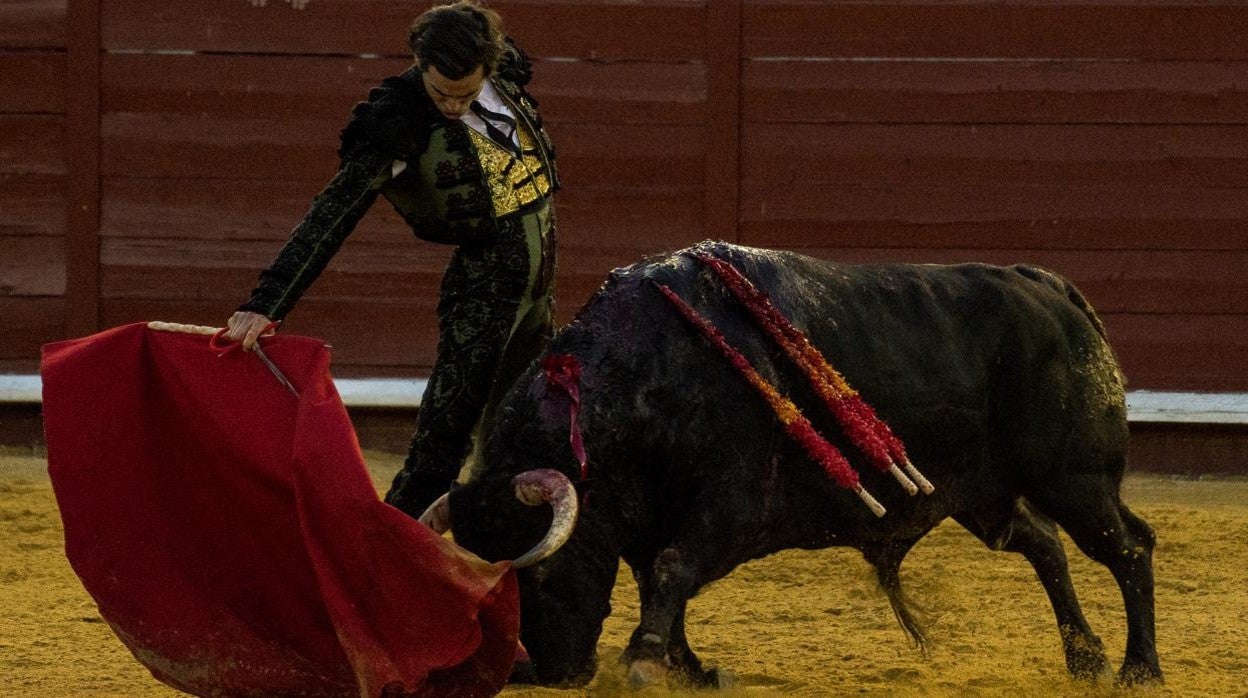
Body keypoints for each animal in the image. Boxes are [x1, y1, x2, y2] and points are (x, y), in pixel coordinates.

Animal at [426, 243, 1158, 689]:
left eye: (539, 570)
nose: (551, 671)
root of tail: (1051, 288)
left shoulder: (732, 502)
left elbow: (672, 568)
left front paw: (644, 661)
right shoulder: (649, 517)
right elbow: (659, 578)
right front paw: (689, 667)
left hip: (1075, 478)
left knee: (1128, 547)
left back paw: (1139, 670)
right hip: (985, 494)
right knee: (1044, 545)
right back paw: (1086, 659)